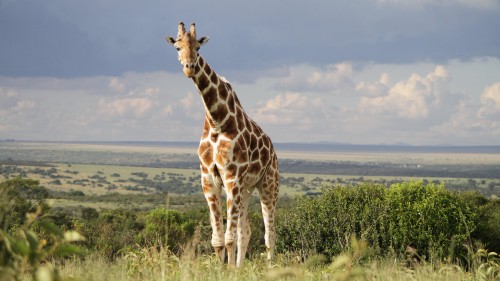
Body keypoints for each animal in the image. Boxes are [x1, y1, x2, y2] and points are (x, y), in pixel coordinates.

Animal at [166, 21, 280, 264]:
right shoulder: (209, 178)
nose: (189, 67)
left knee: (269, 234)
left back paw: (271, 268)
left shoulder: (231, 176)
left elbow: (229, 238)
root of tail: (273, 149)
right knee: (246, 232)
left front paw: (227, 269)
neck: (217, 121)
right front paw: (221, 268)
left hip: (268, 184)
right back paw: (239, 268)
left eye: (198, 48)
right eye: (177, 47)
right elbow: (218, 239)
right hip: (246, 189)